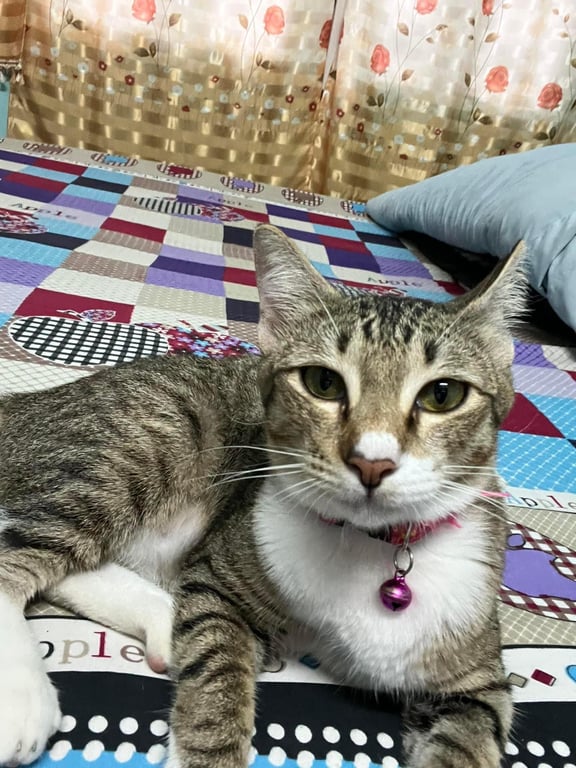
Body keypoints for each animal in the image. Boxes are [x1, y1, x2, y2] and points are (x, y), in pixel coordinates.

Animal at [0, 224, 525, 768]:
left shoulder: (482, 679)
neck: (369, 549)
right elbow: (218, 666)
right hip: (152, 437)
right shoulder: (218, 574)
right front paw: (209, 750)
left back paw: (162, 621)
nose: (371, 462)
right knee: (16, 551)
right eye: (323, 382)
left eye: (443, 395)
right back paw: (24, 697)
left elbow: (470, 737)